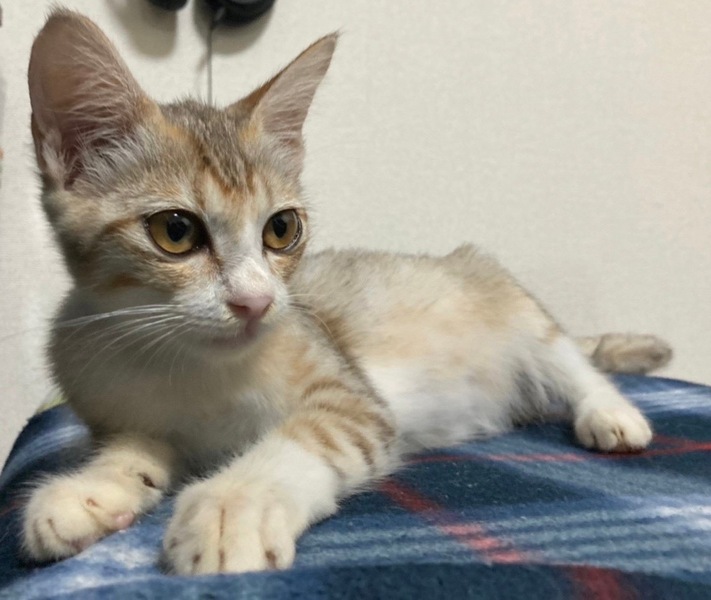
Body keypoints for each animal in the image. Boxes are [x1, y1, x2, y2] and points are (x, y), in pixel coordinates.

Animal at [22, 9, 671, 575]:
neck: (183, 363)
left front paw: (235, 505)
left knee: (572, 359)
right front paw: (88, 491)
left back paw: (610, 412)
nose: (256, 302)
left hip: (503, 292)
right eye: (175, 232)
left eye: (281, 228)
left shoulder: (353, 396)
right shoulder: (121, 409)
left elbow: (309, 437)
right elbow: (136, 450)